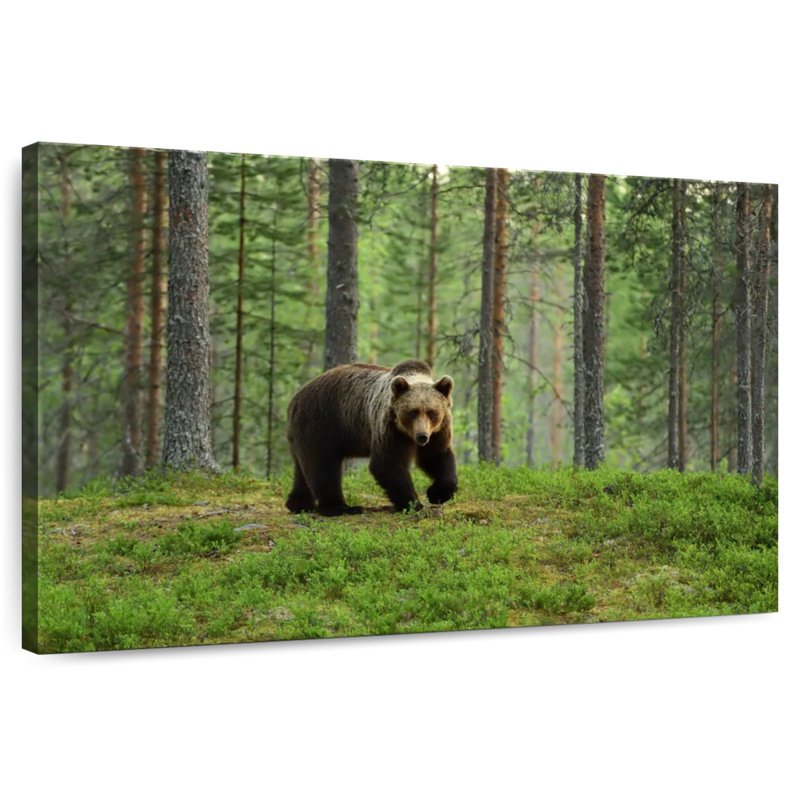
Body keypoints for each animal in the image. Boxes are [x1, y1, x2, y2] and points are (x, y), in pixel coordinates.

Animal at [285, 360, 458, 516]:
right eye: (412, 412)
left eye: (431, 412)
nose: (422, 436)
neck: (408, 434)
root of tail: (295, 399)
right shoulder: (389, 428)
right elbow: (387, 463)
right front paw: (414, 505)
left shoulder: (438, 431)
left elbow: (436, 456)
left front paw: (436, 494)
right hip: (321, 423)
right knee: (323, 466)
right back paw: (340, 507)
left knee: (303, 468)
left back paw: (299, 504)